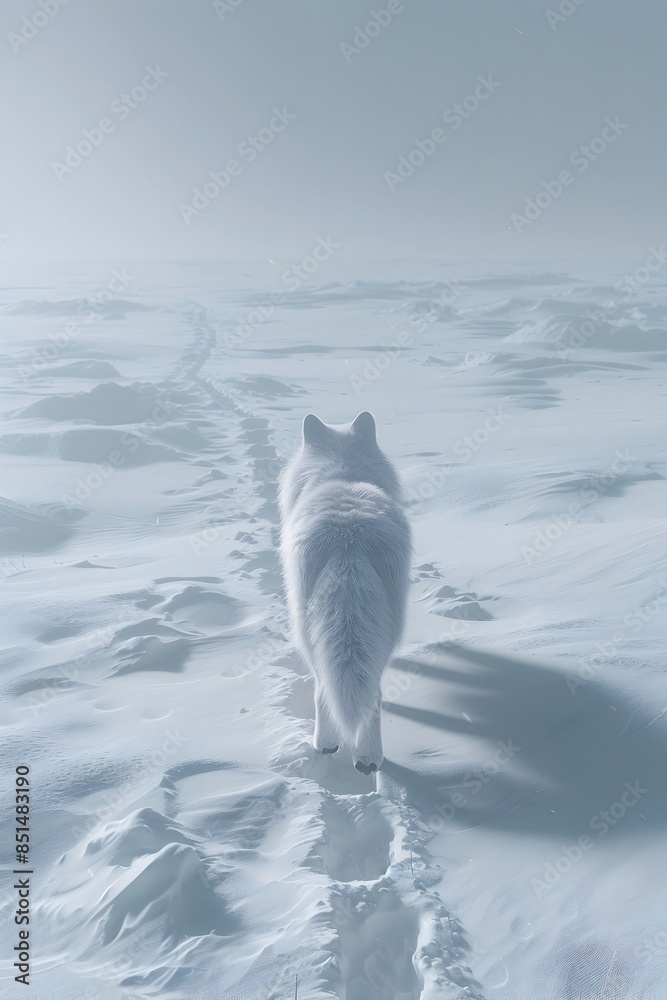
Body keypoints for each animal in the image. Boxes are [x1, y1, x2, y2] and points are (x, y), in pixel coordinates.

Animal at [279, 411, 412, 773]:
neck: (343, 471)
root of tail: (348, 536)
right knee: (370, 694)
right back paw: (366, 759)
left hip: (306, 635)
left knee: (324, 689)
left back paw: (328, 746)